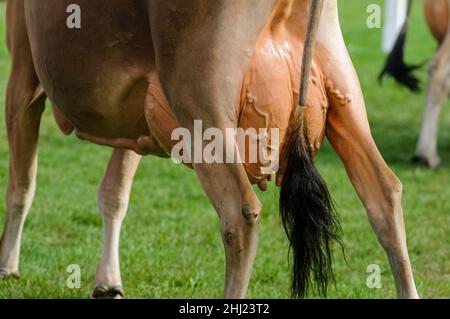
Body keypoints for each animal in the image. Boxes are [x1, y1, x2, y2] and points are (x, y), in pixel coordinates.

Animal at [0, 0, 418, 300]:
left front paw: (7, 265)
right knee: (385, 194)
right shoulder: (139, 118)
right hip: (343, 91)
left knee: (240, 214)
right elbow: (114, 192)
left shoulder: (22, 71)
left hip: (201, 100)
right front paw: (108, 282)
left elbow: (22, 183)